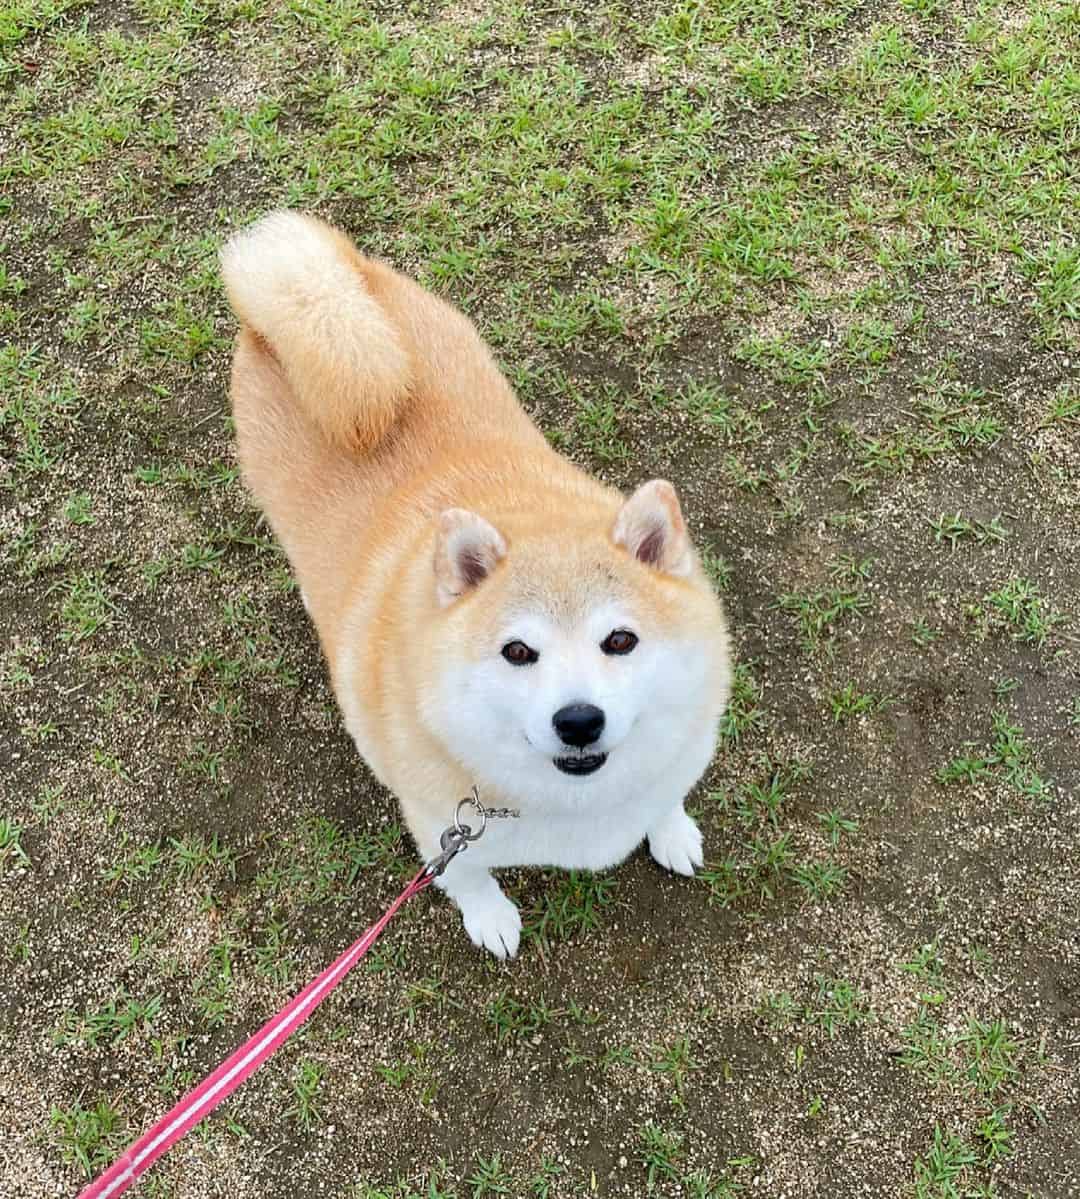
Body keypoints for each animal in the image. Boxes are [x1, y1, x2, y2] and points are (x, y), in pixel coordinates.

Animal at [219, 213, 728, 954]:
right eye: (517, 651)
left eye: (620, 640)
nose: (579, 720)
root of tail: (308, 285)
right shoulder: (440, 826)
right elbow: (470, 878)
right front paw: (491, 918)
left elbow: (663, 795)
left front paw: (671, 830)